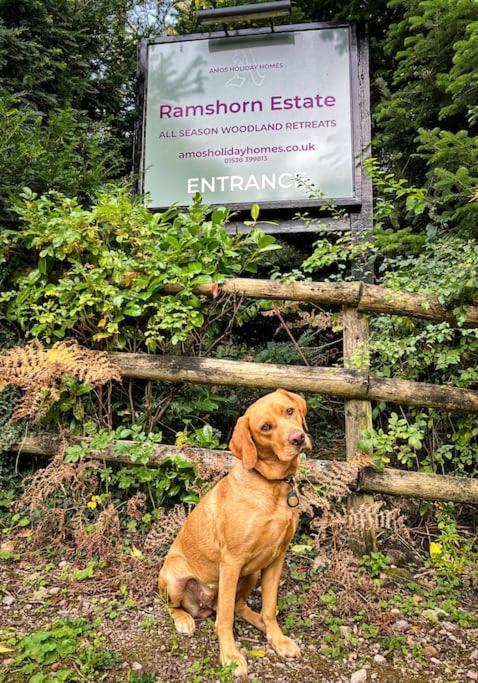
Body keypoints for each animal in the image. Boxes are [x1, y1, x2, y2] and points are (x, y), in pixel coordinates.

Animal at [159, 390, 312, 680]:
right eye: (265, 428)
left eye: (289, 411)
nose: (297, 438)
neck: (270, 486)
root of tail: (203, 605)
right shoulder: (231, 562)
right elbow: (225, 619)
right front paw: (230, 657)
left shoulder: (276, 558)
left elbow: (269, 608)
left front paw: (278, 639)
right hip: (174, 578)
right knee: (178, 606)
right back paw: (184, 620)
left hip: (251, 573)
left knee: (240, 607)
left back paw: (260, 624)